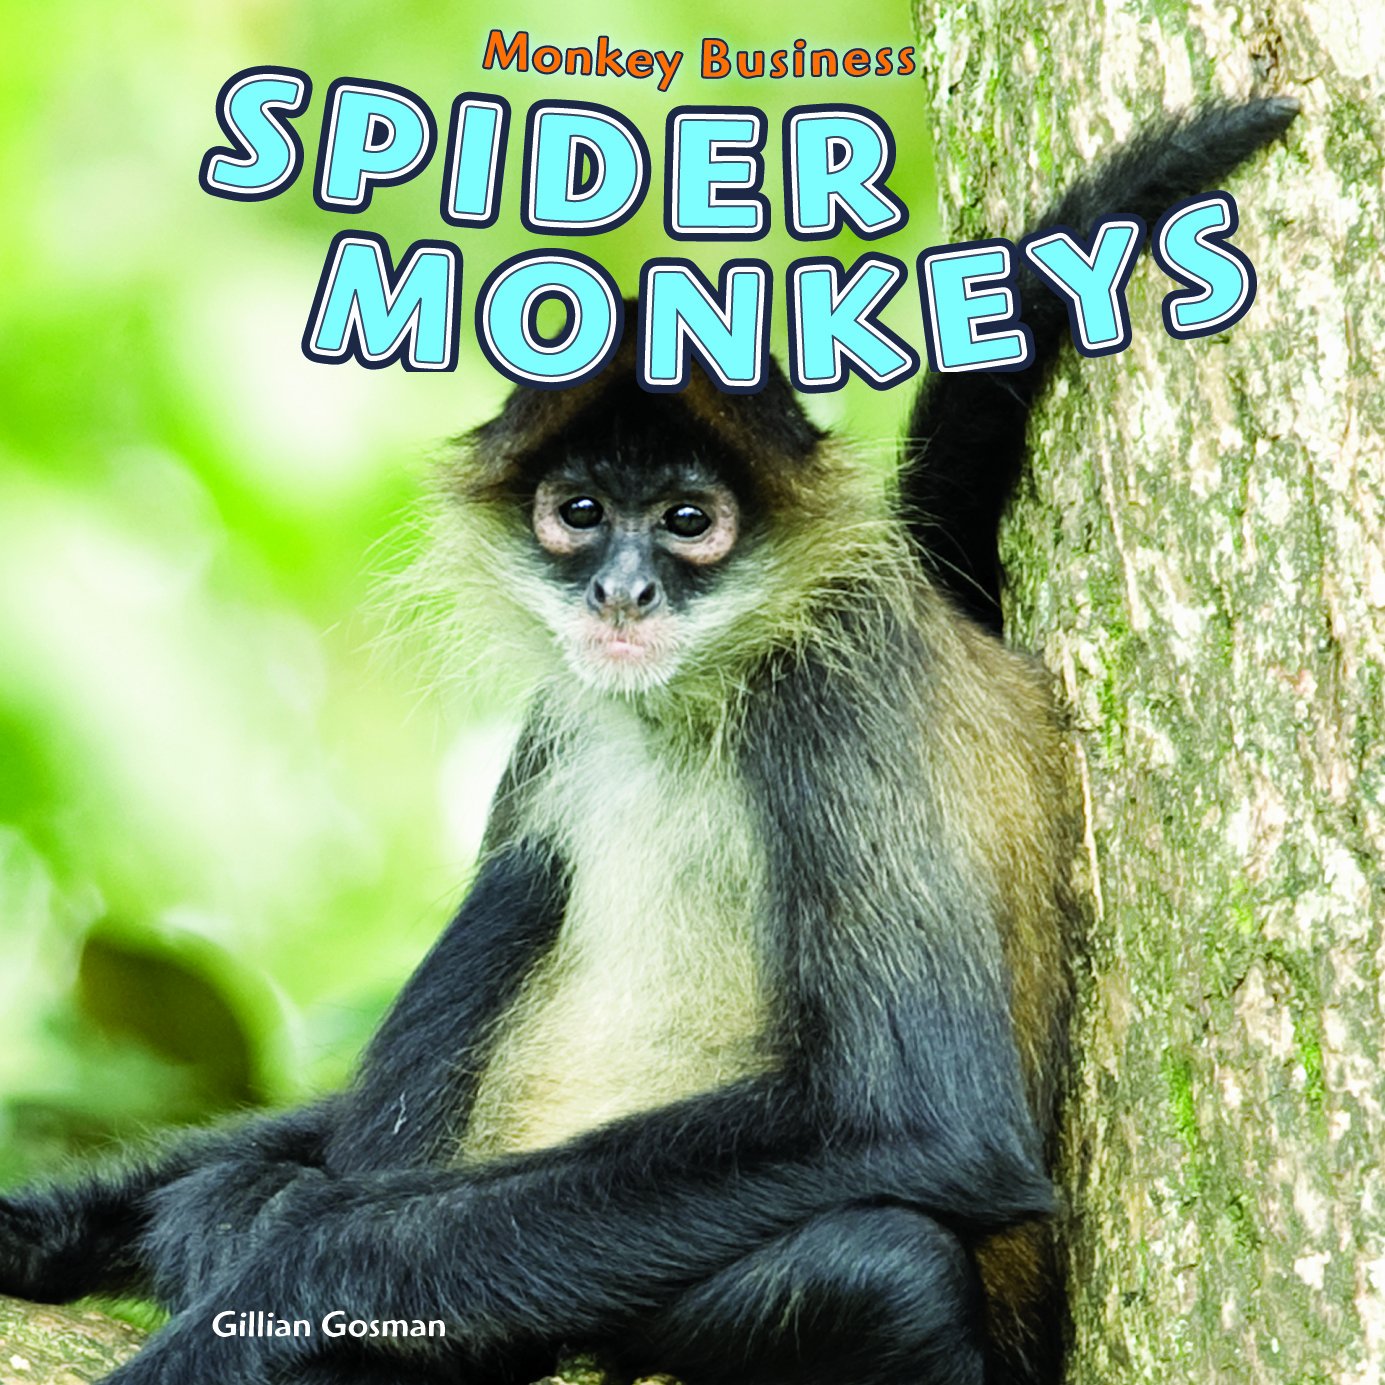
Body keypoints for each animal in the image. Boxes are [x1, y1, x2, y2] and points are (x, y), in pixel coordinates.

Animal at [0, 98, 1296, 1385]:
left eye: (686, 520)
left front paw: (271, 1287)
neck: (693, 697)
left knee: (881, 1266)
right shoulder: (560, 717)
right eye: (578, 513)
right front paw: (45, 1226)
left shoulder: (835, 684)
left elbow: (933, 1124)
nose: (620, 590)